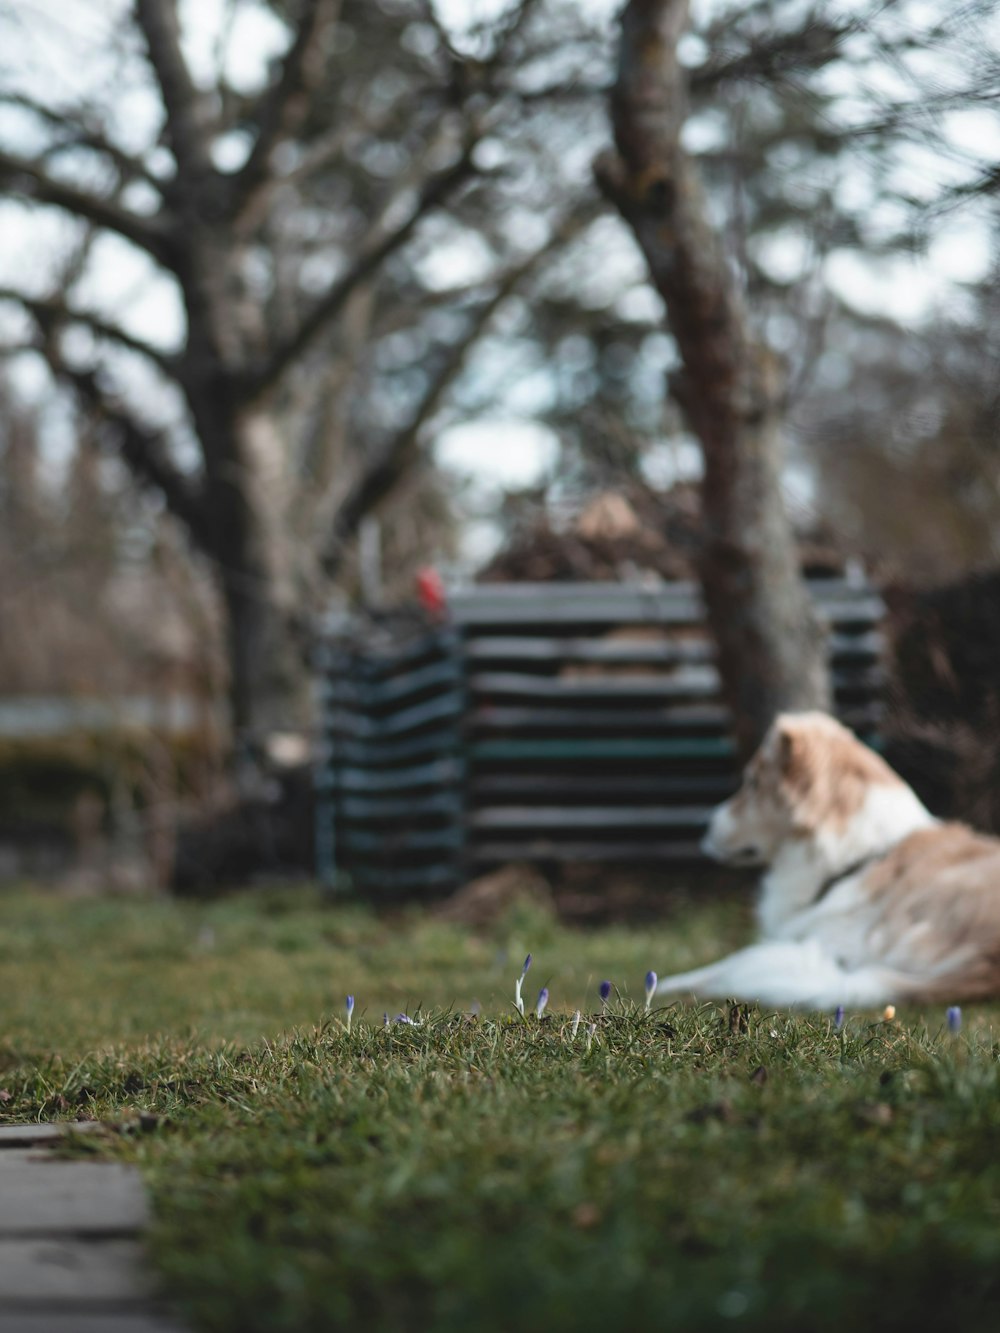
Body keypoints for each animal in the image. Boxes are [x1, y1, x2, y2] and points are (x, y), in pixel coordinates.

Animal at [658, 714, 1000, 1002]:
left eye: (752, 783)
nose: (701, 825)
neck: (858, 857)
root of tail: (988, 963)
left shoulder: (834, 945)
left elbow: (726, 965)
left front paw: (664, 986)